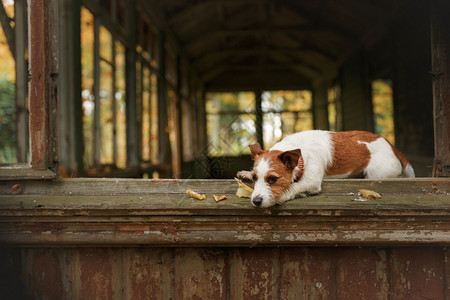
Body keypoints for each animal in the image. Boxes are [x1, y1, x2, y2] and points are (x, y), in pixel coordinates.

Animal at [237, 130, 416, 207]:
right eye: (255, 178)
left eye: (272, 179)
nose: (256, 201)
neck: (299, 150)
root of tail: (393, 148)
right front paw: (245, 173)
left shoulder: (312, 181)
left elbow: (294, 186)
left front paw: (281, 196)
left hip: (377, 172)